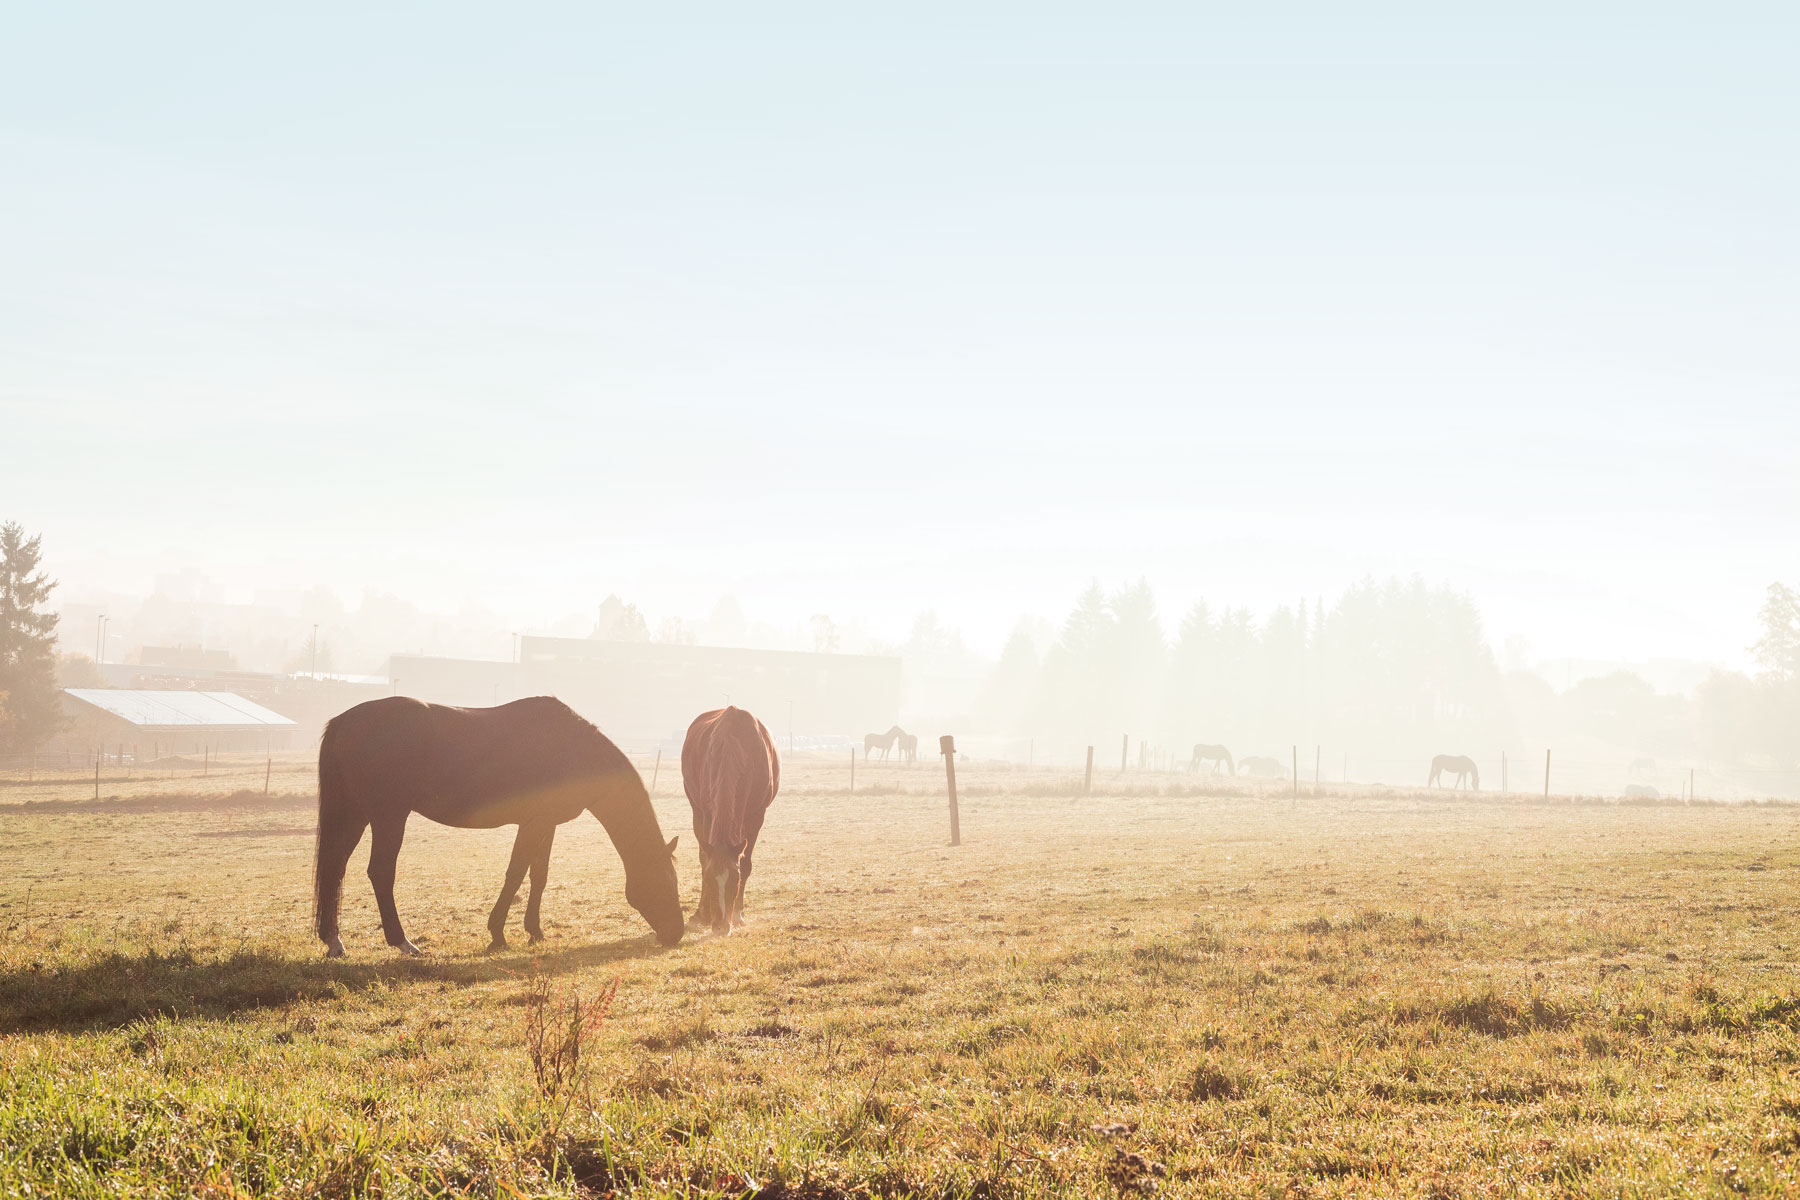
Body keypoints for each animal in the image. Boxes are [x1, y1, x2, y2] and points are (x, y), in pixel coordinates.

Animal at [309, 694, 680, 957]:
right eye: (665, 881)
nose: (676, 933)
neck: (571, 749)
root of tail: (344, 721)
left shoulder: (547, 824)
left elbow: (539, 876)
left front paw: (535, 931)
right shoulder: (532, 824)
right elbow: (516, 873)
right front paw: (498, 934)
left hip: (355, 814)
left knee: (335, 868)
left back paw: (334, 941)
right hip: (389, 816)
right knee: (380, 872)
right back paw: (403, 942)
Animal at [680, 705, 781, 935]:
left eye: (735, 881)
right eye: (709, 880)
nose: (720, 926)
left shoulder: (756, 817)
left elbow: (745, 864)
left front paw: (737, 914)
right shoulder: (707, 812)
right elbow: (705, 861)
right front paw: (704, 914)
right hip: (697, 811)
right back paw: (701, 914)